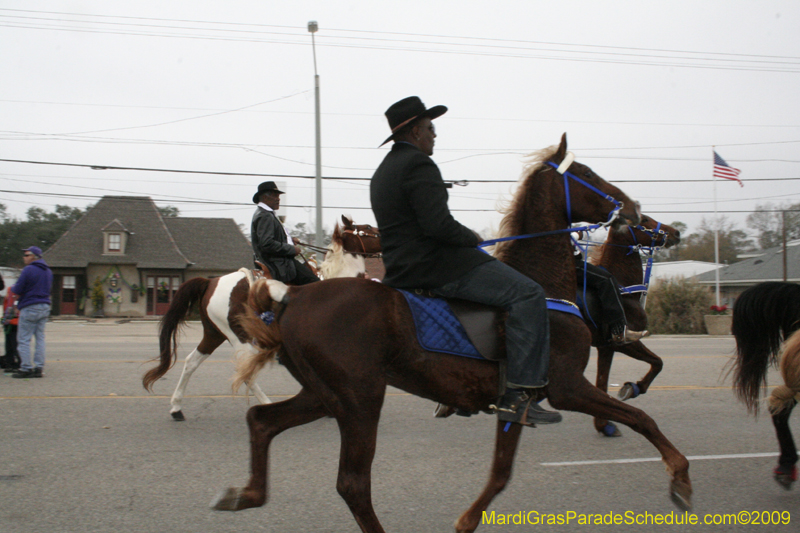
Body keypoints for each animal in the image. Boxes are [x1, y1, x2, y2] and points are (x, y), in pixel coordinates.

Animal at [141, 214, 382, 418]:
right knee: (246, 373)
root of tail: (210, 282)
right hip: (239, 338)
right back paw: (267, 404)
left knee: (191, 362)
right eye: (368, 228)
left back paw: (176, 408)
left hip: (213, 334)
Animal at [216, 134, 692, 532]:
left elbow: (500, 473)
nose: (632, 209)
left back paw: (245, 493)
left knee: (262, 421)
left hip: (323, 394)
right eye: (588, 174)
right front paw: (680, 475)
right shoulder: (566, 387)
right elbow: (641, 417)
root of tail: (292, 298)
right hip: (359, 398)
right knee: (352, 484)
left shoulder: (518, 399)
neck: (548, 285)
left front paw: (467, 521)